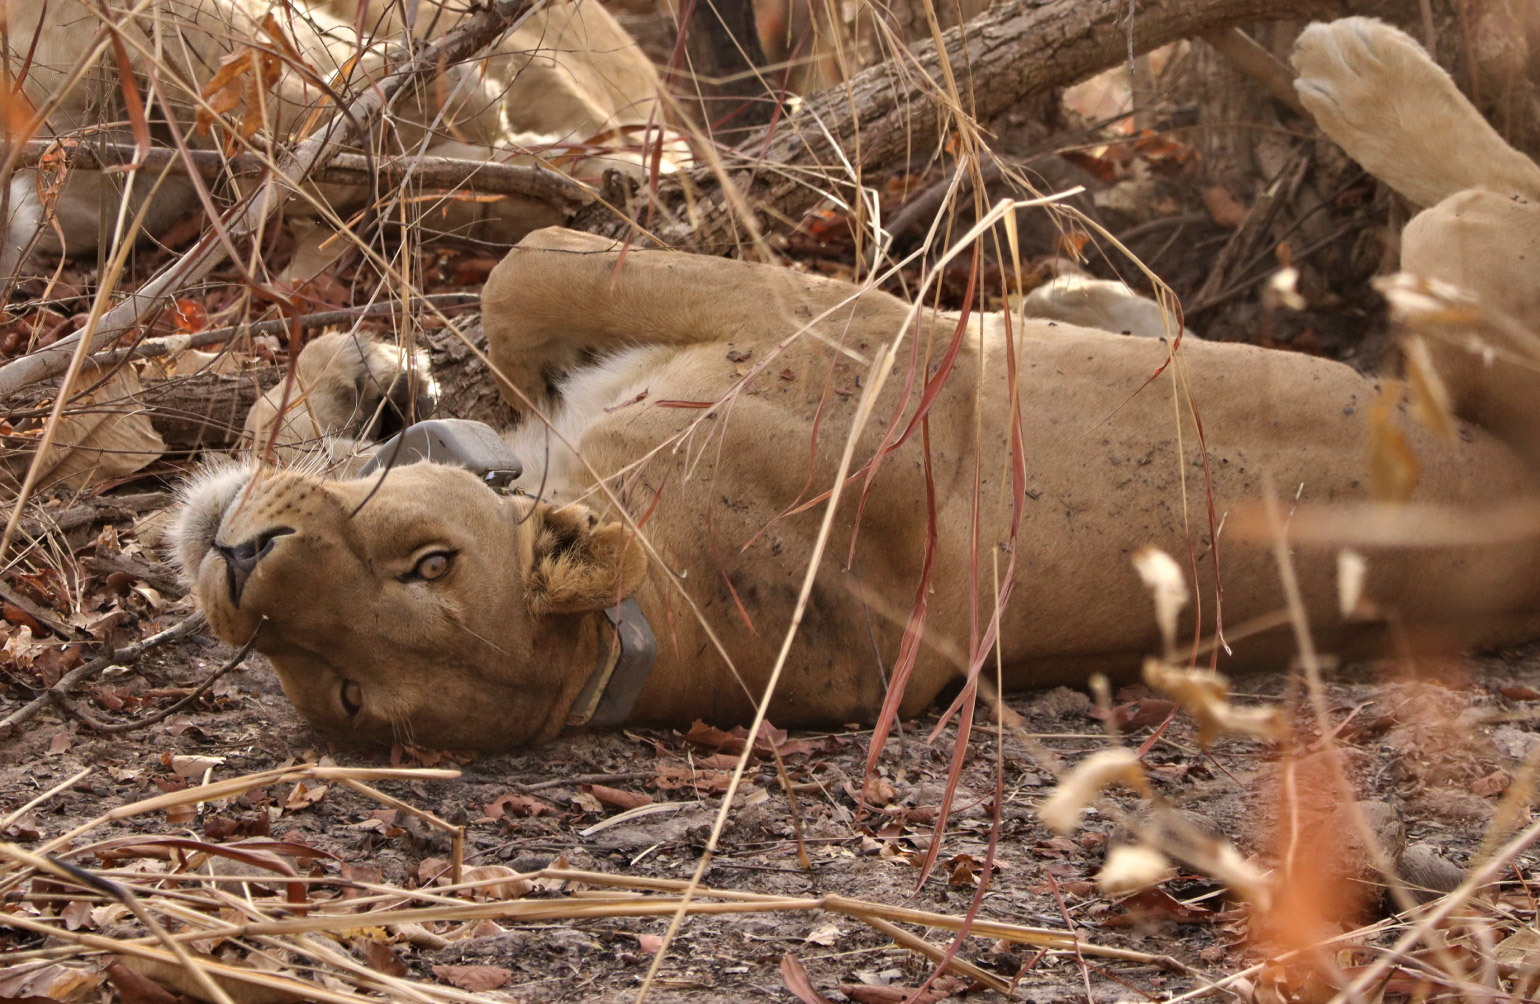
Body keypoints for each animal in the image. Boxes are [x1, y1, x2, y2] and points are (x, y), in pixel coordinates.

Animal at [170, 17, 1540, 750]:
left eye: (430, 565)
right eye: (340, 685)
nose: (241, 564)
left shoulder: (821, 316)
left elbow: (515, 278)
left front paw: (381, 373)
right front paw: (360, 381)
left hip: (1452, 250)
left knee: (1494, 183)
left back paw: (1357, 66)